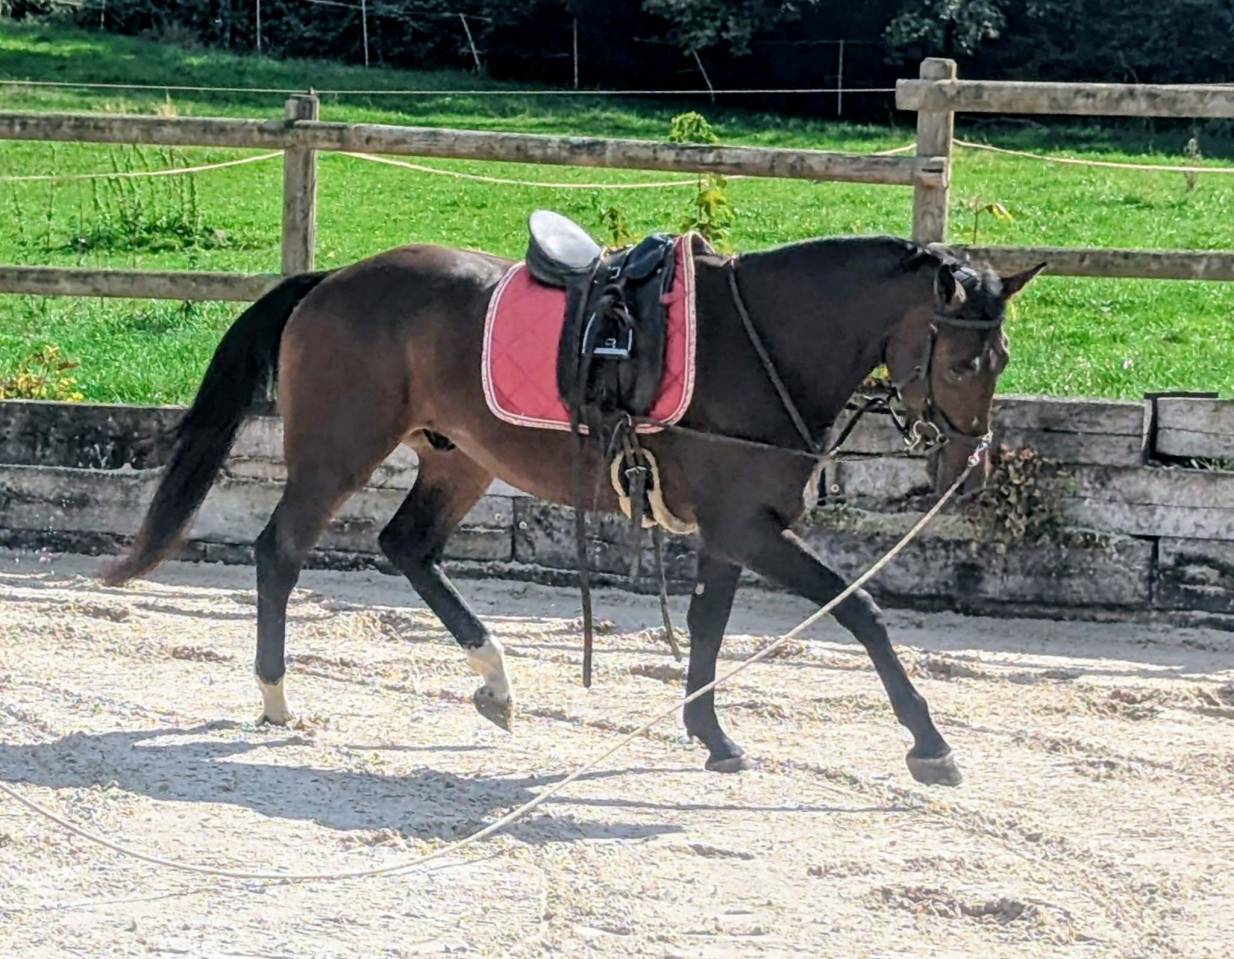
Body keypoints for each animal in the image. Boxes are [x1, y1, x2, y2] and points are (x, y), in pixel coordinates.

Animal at [101, 230, 1043, 786]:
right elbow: (864, 611)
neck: (757, 343)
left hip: (459, 460)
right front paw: (930, 743)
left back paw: (494, 678)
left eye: (1001, 358)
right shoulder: (750, 529)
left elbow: (705, 627)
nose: (972, 463)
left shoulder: (729, 532)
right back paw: (275, 695)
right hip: (338, 453)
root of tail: (333, 280)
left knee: (408, 547)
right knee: (281, 552)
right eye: (966, 361)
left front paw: (709, 732)